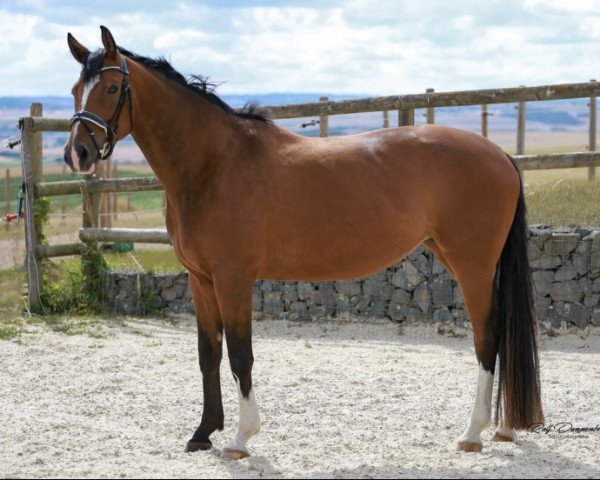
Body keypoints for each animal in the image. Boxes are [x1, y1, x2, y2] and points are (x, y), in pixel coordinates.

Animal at [64, 27, 544, 462]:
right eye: (73, 90)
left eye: (111, 87)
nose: (78, 154)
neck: (214, 163)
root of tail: (500, 155)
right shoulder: (200, 279)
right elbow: (208, 354)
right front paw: (203, 433)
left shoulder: (233, 279)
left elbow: (240, 355)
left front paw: (241, 438)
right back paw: (502, 428)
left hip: (471, 265)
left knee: (487, 338)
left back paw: (473, 432)